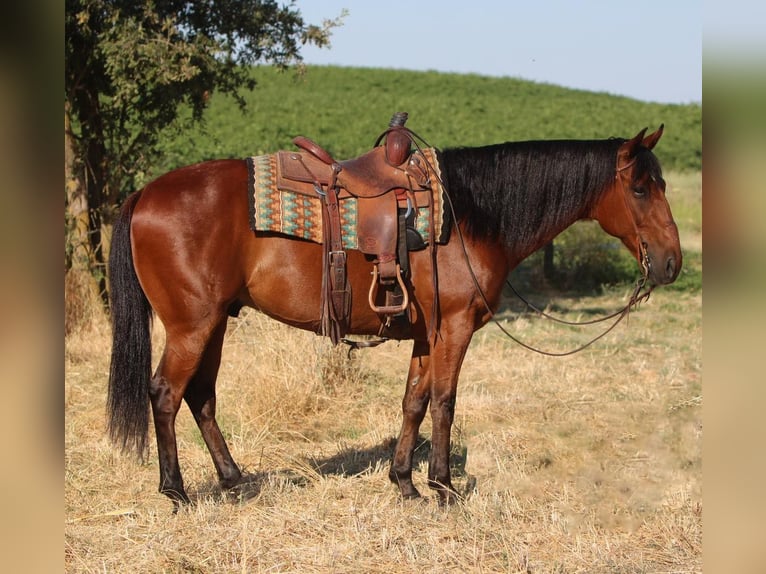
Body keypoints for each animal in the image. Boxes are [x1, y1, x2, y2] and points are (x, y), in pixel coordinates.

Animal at [106, 125, 684, 508]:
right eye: (640, 188)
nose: (672, 262)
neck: (470, 216)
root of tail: (144, 193)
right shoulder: (454, 327)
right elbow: (445, 403)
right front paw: (444, 486)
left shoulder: (427, 334)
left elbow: (414, 402)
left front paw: (404, 482)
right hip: (192, 324)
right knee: (165, 392)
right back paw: (176, 491)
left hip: (217, 321)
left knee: (200, 395)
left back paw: (234, 480)